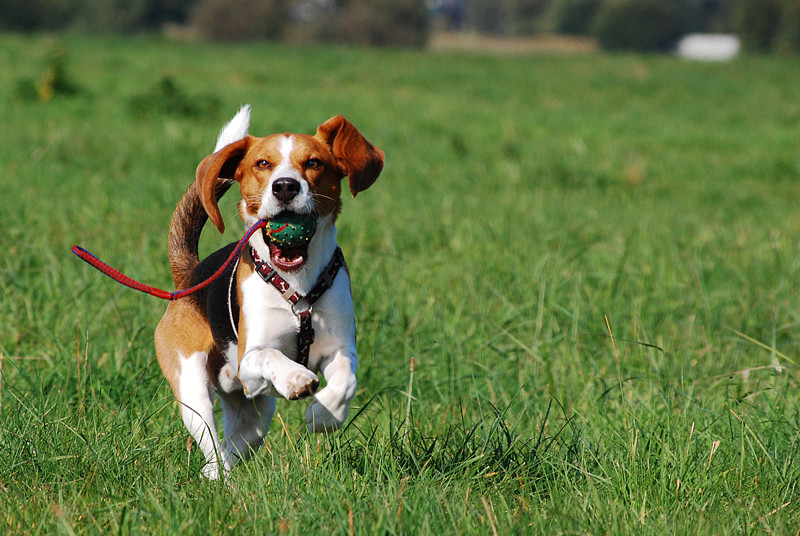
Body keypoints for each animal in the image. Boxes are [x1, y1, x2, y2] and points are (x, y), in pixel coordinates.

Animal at [155, 105, 386, 478]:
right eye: (263, 163)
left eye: (314, 162)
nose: (286, 186)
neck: (297, 288)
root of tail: (190, 276)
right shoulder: (250, 361)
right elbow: (271, 355)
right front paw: (296, 378)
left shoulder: (341, 348)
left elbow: (345, 380)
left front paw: (323, 414)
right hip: (193, 389)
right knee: (213, 447)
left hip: (255, 416)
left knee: (228, 450)